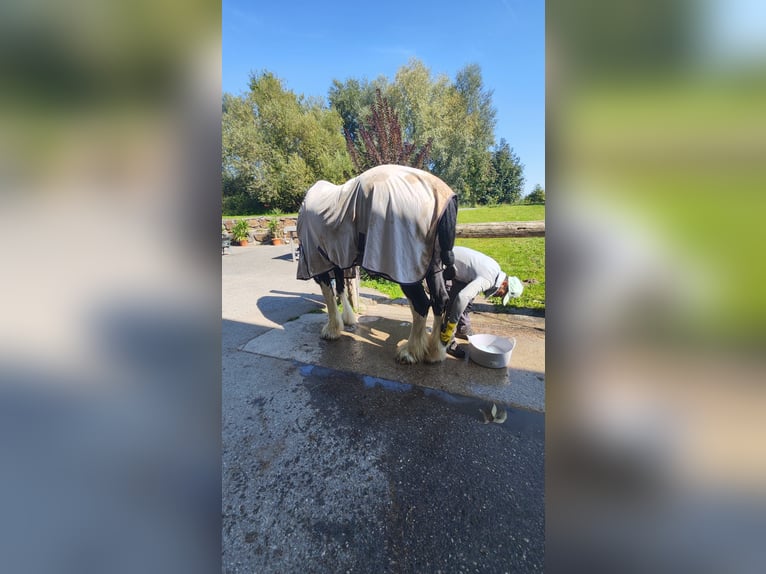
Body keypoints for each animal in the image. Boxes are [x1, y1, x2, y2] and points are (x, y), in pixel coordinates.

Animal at [296, 164, 458, 364]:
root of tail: (439, 193)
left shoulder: (319, 264)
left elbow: (329, 294)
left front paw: (331, 331)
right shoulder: (337, 258)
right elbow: (340, 288)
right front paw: (347, 320)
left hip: (405, 268)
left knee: (421, 304)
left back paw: (409, 352)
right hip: (431, 265)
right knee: (440, 300)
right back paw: (434, 353)